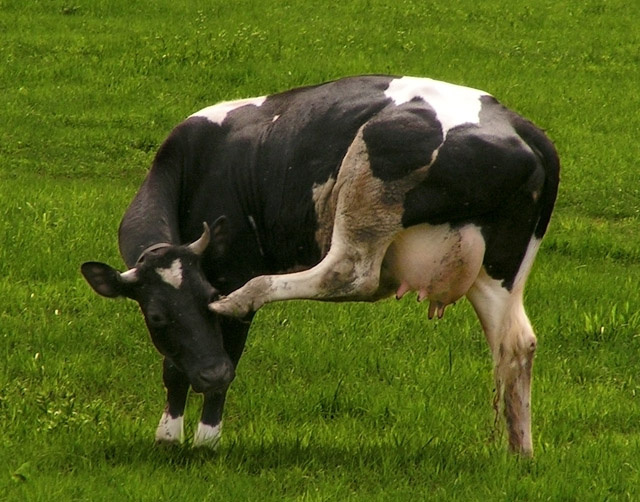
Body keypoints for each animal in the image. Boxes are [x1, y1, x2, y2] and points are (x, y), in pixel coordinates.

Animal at [81, 75, 559, 456]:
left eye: (208, 295)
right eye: (158, 315)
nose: (212, 373)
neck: (198, 163)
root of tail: (518, 123)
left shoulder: (234, 266)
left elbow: (224, 348)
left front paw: (204, 442)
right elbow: (175, 365)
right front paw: (168, 437)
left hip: (369, 181)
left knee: (349, 272)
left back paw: (253, 293)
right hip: (499, 268)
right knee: (516, 343)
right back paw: (518, 452)